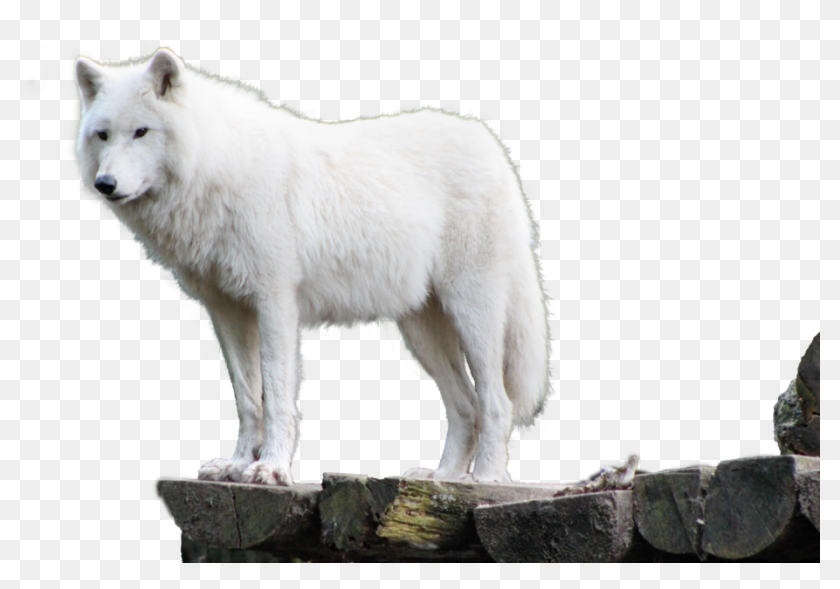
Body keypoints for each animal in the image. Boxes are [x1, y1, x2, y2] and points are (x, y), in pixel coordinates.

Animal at [75, 48, 551, 485]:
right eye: (103, 135)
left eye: (141, 132)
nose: (105, 184)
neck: (217, 167)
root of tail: (491, 145)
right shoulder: (227, 311)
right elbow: (247, 399)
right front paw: (236, 466)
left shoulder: (275, 303)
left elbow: (276, 395)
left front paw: (271, 468)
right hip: (421, 331)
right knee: (465, 407)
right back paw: (441, 478)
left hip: (472, 314)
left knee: (496, 402)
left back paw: (485, 479)